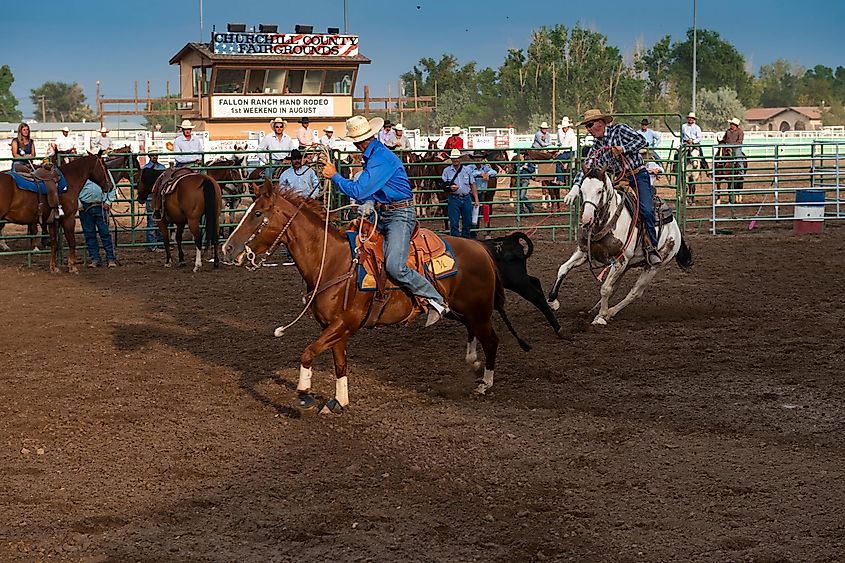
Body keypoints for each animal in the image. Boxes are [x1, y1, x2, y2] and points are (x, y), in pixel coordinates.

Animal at [221, 182, 532, 414]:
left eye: (258, 214)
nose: (227, 248)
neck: (332, 261)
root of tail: (482, 249)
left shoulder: (345, 324)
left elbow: (308, 352)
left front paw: (305, 395)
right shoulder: (333, 328)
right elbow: (339, 363)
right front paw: (338, 401)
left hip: (478, 312)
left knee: (492, 340)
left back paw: (485, 383)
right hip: (463, 311)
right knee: (475, 334)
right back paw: (473, 362)